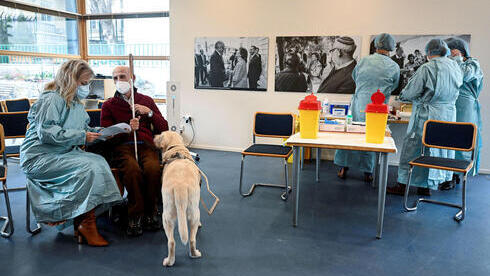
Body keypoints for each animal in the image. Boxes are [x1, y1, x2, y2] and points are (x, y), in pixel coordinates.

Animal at [152, 132, 200, 268]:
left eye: (160, 134)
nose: (154, 136)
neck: (176, 146)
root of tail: (180, 186)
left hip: (167, 216)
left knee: (172, 242)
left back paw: (170, 261)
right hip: (193, 213)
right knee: (191, 239)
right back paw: (193, 254)